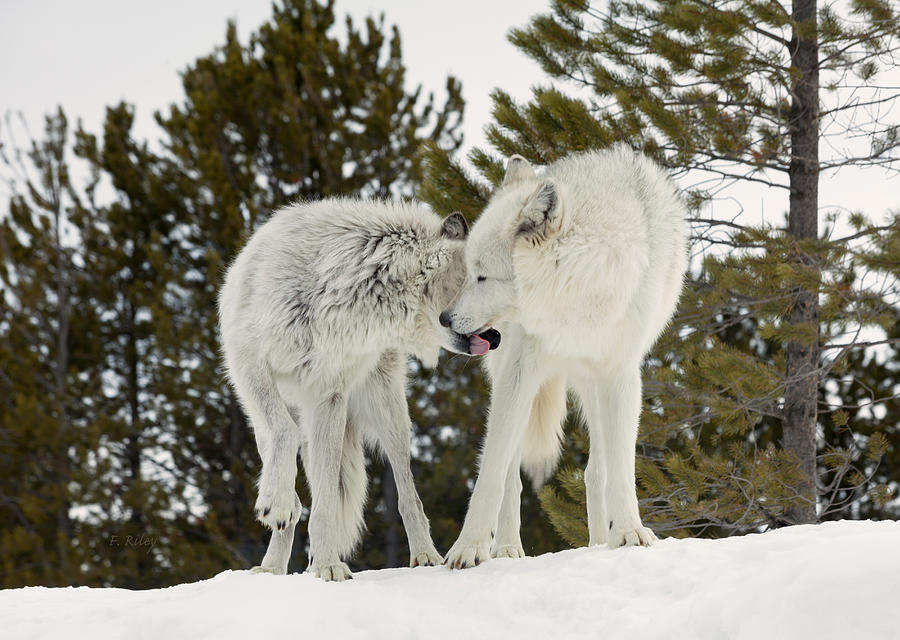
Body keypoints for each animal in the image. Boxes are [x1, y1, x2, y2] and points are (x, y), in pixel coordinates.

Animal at [217, 199, 478, 580]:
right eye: (475, 282)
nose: (497, 337)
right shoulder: (249, 366)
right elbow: (285, 435)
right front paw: (278, 508)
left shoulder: (328, 396)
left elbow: (326, 501)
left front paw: (327, 564)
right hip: (267, 423)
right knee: (286, 459)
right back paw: (272, 565)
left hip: (388, 414)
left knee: (407, 495)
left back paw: (425, 556)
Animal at [440, 148, 684, 568]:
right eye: (468, 273)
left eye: (482, 277)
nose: (445, 318)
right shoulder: (520, 370)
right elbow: (492, 471)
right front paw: (468, 548)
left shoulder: (621, 373)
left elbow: (620, 467)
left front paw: (629, 533)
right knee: (511, 473)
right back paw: (507, 548)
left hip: (592, 388)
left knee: (595, 471)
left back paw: (599, 543)